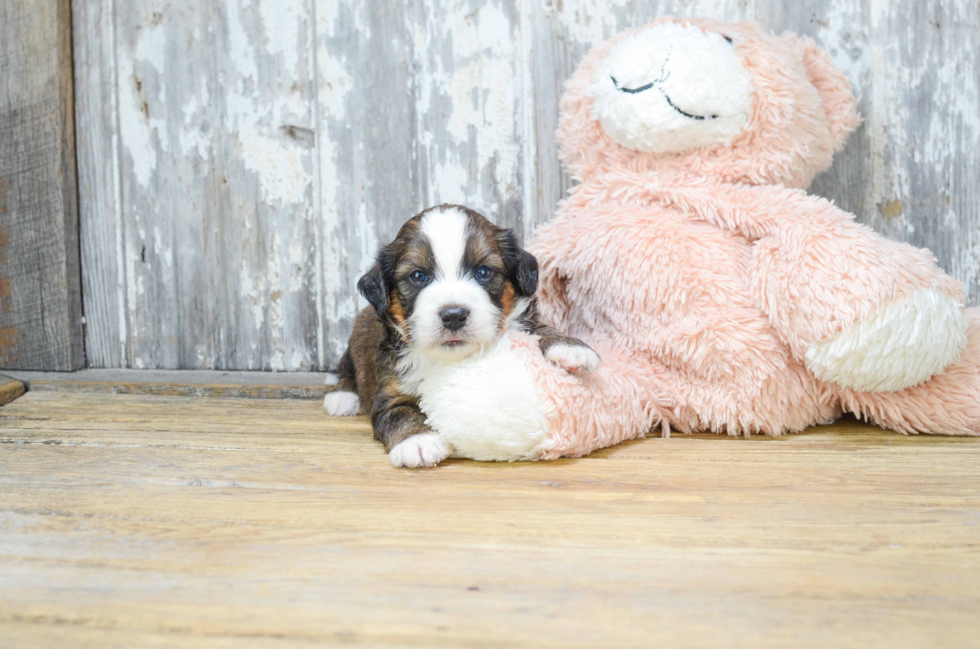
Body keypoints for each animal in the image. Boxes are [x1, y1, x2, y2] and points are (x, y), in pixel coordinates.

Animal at [324, 202, 596, 466]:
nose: (453, 315)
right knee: (347, 368)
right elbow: (398, 413)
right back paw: (342, 396)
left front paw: (570, 347)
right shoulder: (390, 390)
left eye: (483, 272)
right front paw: (417, 441)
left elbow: (538, 330)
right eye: (418, 276)